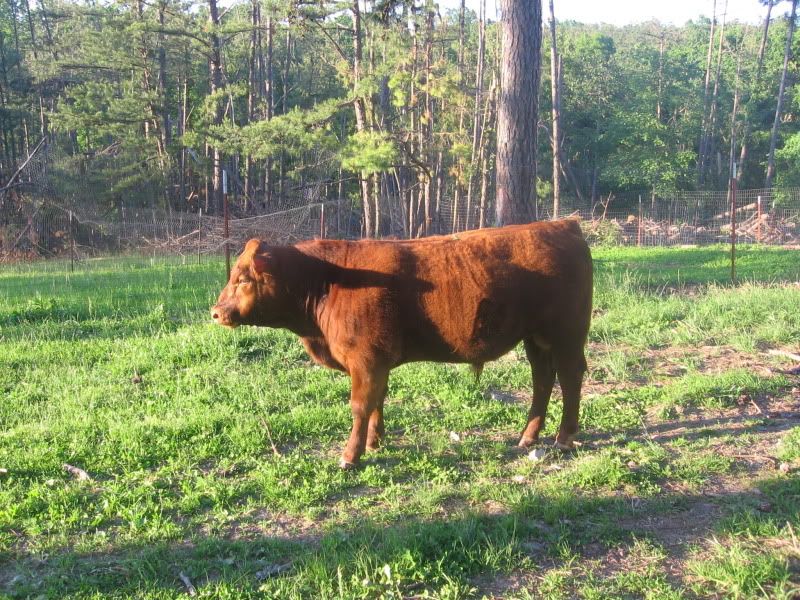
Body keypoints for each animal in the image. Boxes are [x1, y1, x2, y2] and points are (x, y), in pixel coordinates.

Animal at [211, 220, 593, 469]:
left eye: (242, 279)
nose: (216, 312)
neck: (329, 282)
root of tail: (563, 224)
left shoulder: (365, 361)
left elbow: (360, 406)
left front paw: (350, 456)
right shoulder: (377, 363)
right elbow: (377, 402)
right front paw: (374, 442)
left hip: (567, 336)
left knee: (570, 378)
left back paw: (564, 438)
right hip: (536, 340)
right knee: (542, 380)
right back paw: (528, 436)